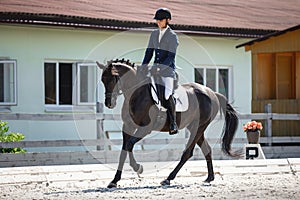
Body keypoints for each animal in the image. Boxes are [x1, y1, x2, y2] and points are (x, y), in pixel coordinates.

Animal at [96, 59, 239, 188]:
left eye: (112, 80)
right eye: (103, 80)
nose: (109, 104)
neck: (137, 93)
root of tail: (212, 93)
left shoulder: (145, 128)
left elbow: (129, 145)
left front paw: (138, 167)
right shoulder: (128, 126)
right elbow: (124, 150)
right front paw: (114, 180)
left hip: (198, 127)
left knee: (187, 153)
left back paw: (168, 179)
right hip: (195, 127)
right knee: (207, 149)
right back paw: (209, 178)